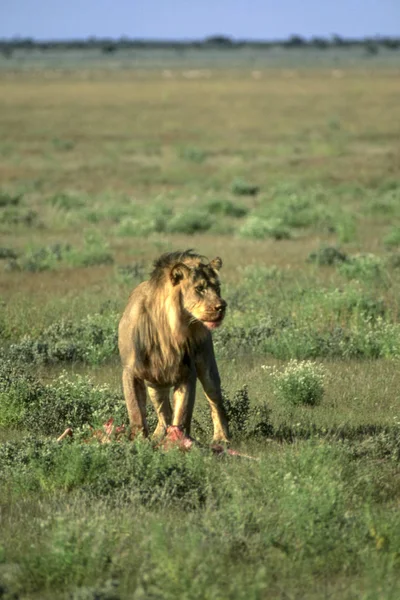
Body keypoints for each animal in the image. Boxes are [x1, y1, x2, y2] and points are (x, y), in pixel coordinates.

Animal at [117, 250, 230, 446]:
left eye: (217, 288)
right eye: (199, 288)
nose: (222, 306)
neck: (169, 329)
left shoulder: (187, 371)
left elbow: (183, 412)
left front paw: (177, 442)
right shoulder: (130, 370)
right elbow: (136, 411)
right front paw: (139, 441)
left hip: (207, 367)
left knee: (215, 400)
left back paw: (222, 438)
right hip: (154, 383)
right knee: (164, 412)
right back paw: (157, 436)